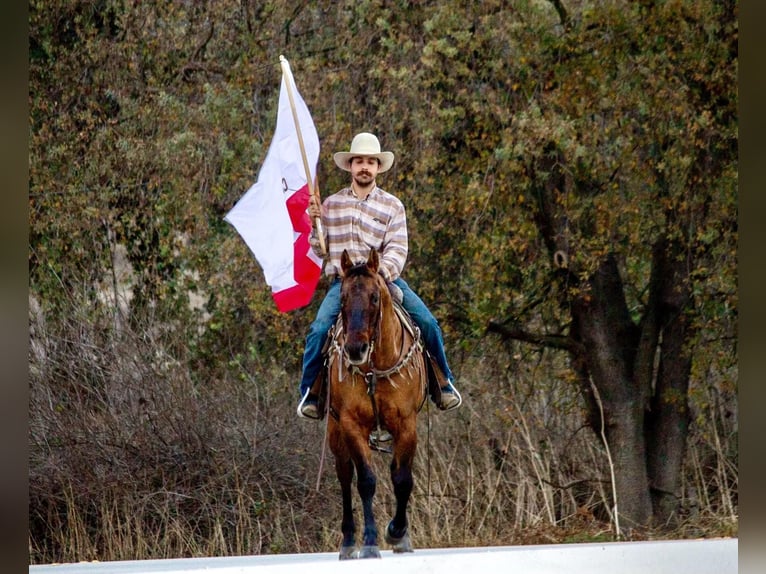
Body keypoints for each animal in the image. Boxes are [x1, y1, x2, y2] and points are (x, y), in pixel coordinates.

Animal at [326, 250, 428, 560]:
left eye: (374, 297)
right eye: (343, 298)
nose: (354, 349)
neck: (375, 367)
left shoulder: (406, 424)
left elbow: (403, 479)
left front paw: (397, 533)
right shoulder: (351, 424)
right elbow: (366, 481)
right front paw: (370, 542)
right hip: (335, 432)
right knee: (345, 477)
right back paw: (348, 542)